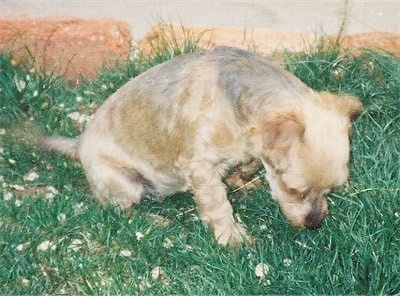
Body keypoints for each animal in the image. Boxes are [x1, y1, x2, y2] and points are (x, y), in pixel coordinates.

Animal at [42, 46, 364, 247]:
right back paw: (154, 220)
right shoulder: (201, 168)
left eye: (333, 189)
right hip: (123, 182)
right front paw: (232, 238)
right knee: (119, 211)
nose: (314, 224)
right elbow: (218, 205)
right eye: (295, 189)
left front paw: (242, 178)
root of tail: (79, 143)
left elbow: (249, 162)